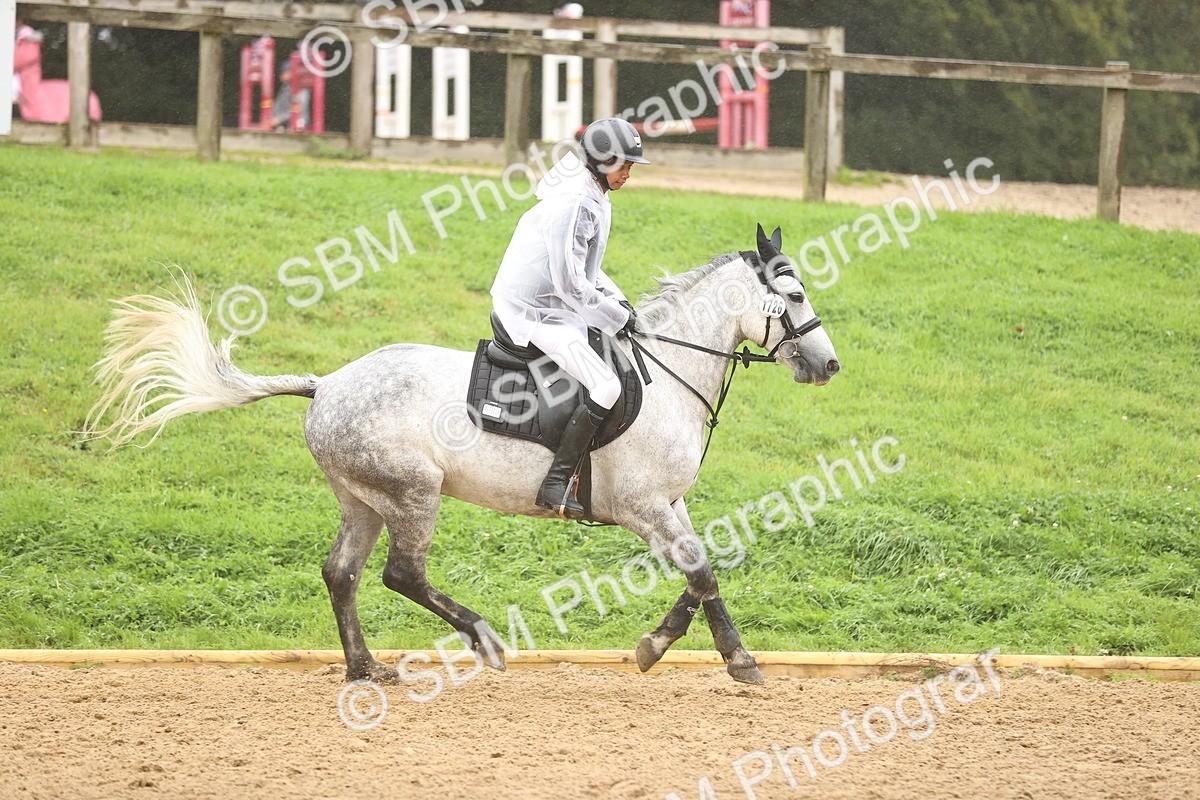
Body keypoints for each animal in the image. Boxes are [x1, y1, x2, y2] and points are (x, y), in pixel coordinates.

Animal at [85, 225, 840, 686]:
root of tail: (327, 384)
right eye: (796, 293)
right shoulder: (643, 506)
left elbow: (706, 568)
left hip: (363, 500)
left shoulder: (669, 504)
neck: (666, 374)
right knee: (401, 575)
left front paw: (662, 647)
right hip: (413, 493)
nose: (829, 364)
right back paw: (483, 639)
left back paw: (365, 667)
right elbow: (704, 571)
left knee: (341, 573)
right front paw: (735, 660)